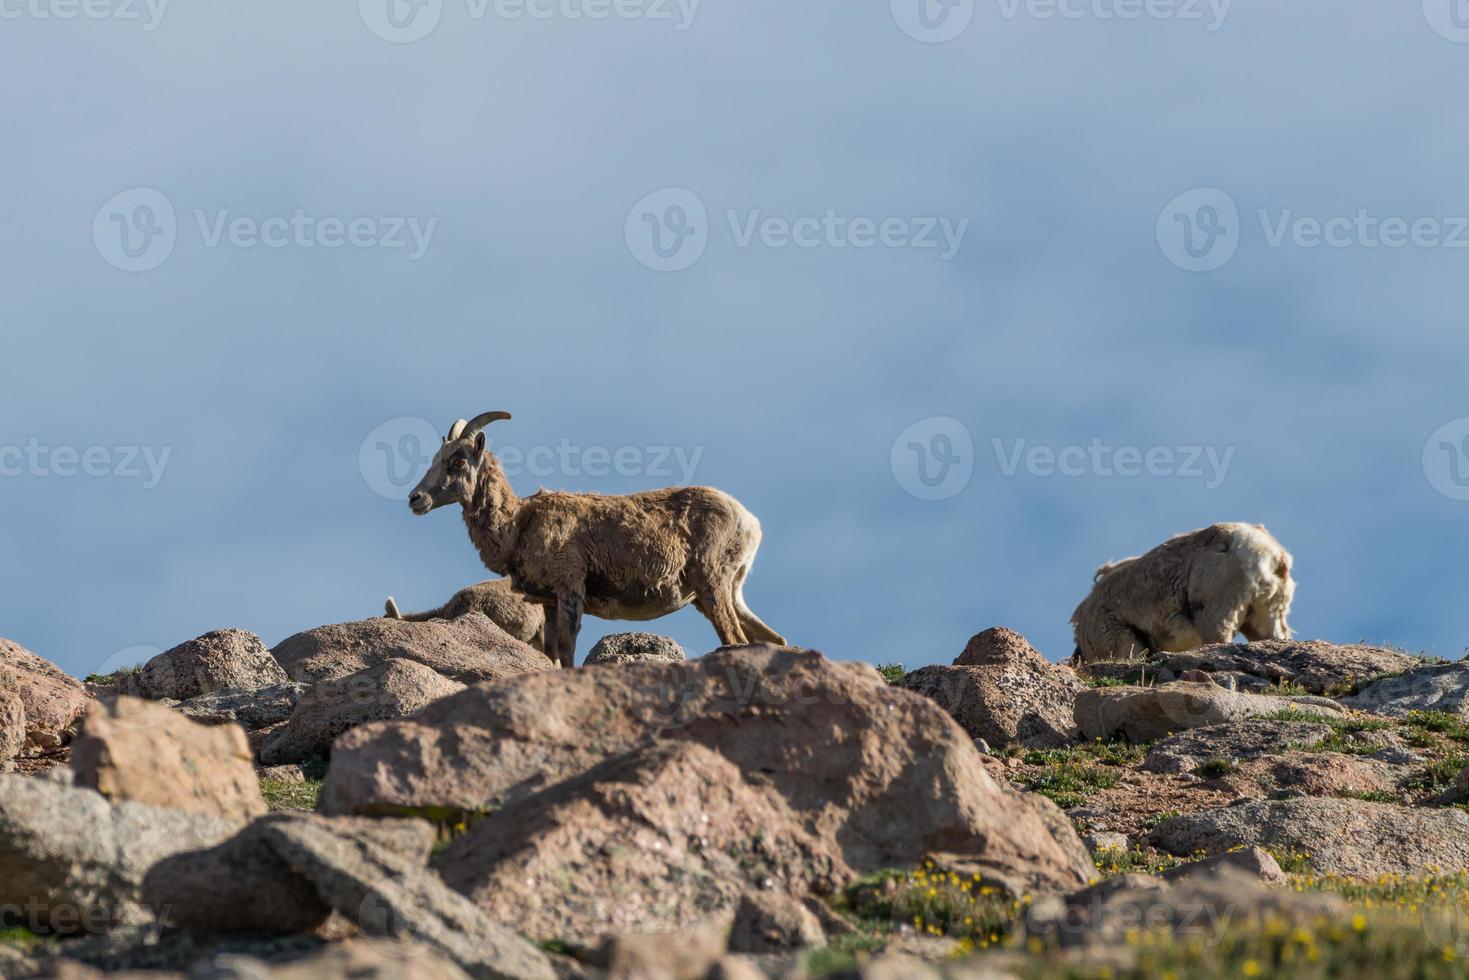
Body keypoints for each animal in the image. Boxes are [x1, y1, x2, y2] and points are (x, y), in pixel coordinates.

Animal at [402, 411, 787, 669]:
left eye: (457, 461)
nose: (416, 499)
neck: (518, 524)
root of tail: (750, 522)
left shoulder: (570, 591)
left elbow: (567, 653)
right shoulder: (549, 602)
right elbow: (554, 656)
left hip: (712, 585)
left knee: (736, 639)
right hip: (727, 593)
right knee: (773, 639)